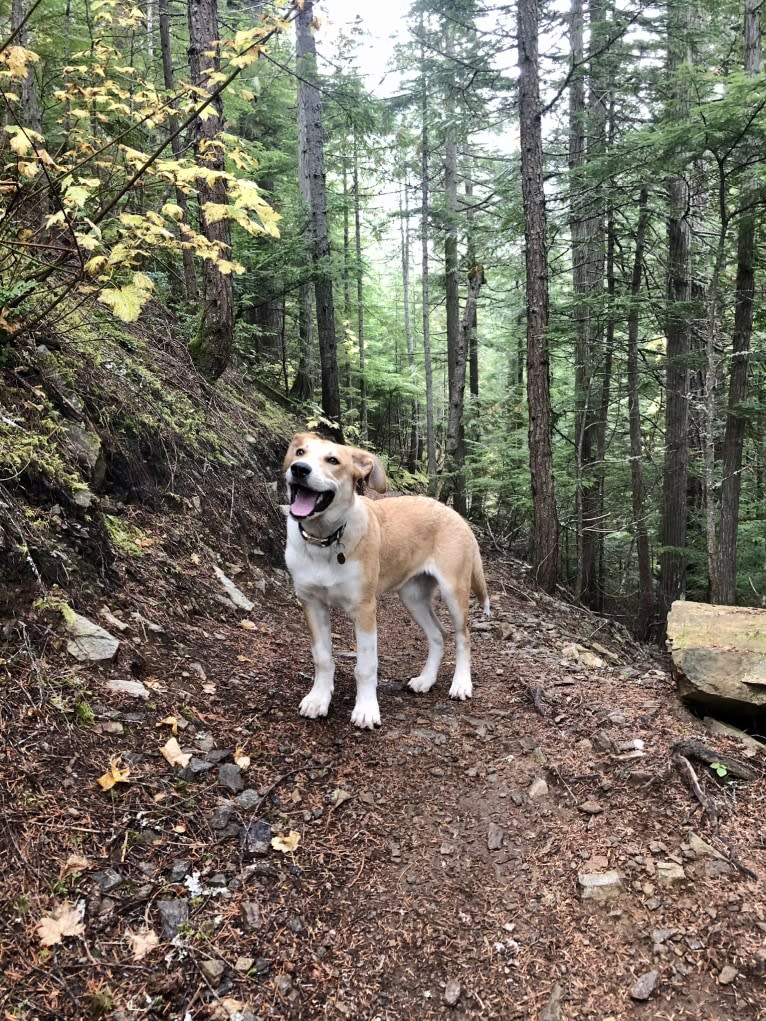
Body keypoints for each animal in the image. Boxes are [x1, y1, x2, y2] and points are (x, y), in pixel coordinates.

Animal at [283, 434, 492, 731]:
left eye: (333, 460)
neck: (325, 540)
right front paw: (318, 699)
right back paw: (425, 680)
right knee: (438, 634)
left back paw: (461, 684)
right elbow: (322, 658)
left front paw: (366, 710)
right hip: (413, 596)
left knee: (463, 637)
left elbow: (366, 666)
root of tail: (455, 514)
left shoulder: (364, 609)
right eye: (300, 452)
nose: (299, 469)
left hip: (454, 591)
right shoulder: (311, 603)